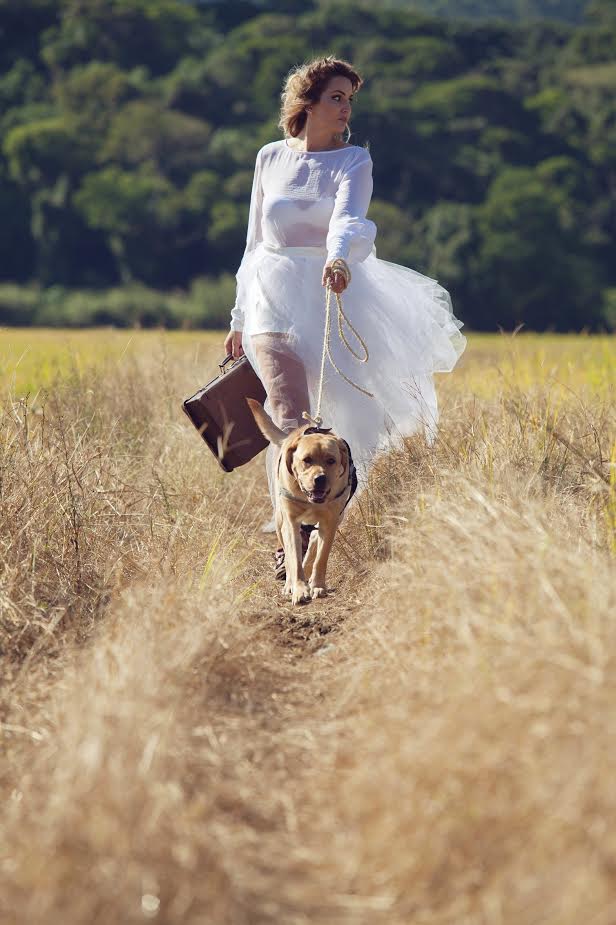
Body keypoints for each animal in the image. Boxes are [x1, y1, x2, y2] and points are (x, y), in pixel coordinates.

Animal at [243, 398, 354, 608]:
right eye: (307, 460)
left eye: (331, 460)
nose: (320, 479)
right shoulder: (291, 523)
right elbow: (293, 559)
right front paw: (299, 589)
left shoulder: (330, 521)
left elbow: (321, 558)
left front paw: (317, 585)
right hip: (280, 521)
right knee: (289, 553)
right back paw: (289, 584)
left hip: (339, 516)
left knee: (313, 542)